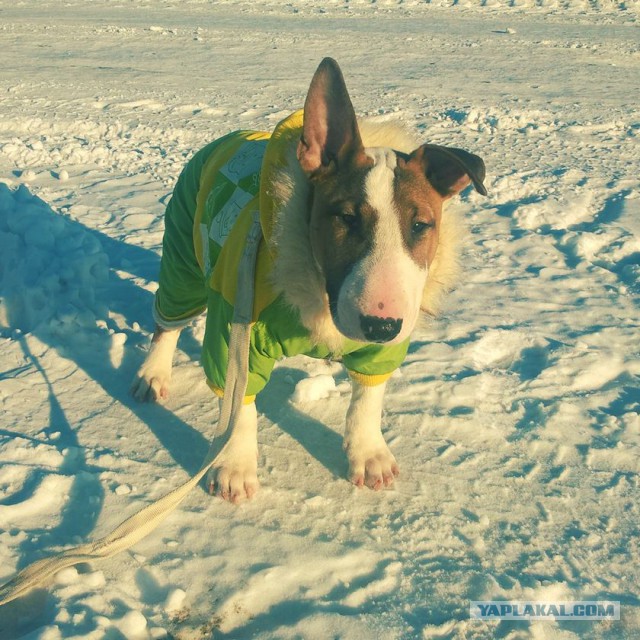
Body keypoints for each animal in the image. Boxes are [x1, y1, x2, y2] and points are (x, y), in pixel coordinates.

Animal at [131, 57, 490, 502]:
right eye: (346, 218)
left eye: (421, 225)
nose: (381, 326)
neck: (320, 295)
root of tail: (225, 137)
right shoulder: (237, 319)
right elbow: (239, 399)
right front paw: (235, 469)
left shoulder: (383, 344)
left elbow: (368, 397)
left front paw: (369, 456)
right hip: (183, 252)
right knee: (167, 320)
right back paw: (153, 374)